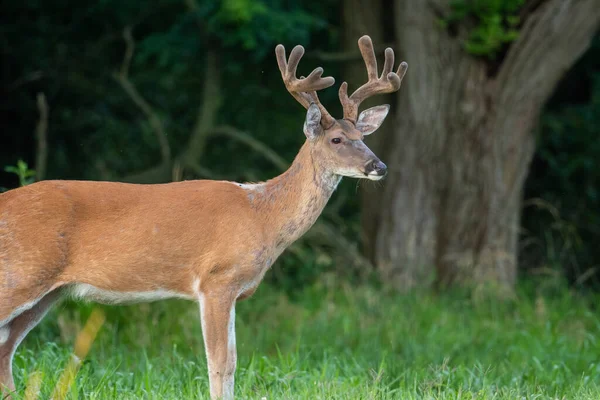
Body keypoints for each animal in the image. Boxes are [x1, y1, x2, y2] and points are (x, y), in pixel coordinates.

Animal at [0, 36, 408, 398]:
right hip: (20, 272)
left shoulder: (234, 289)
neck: (263, 214)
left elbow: (233, 362)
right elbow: (220, 362)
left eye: (363, 136)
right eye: (337, 139)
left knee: (6, 349)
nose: (379, 166)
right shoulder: (216, 279)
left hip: (47, 292)